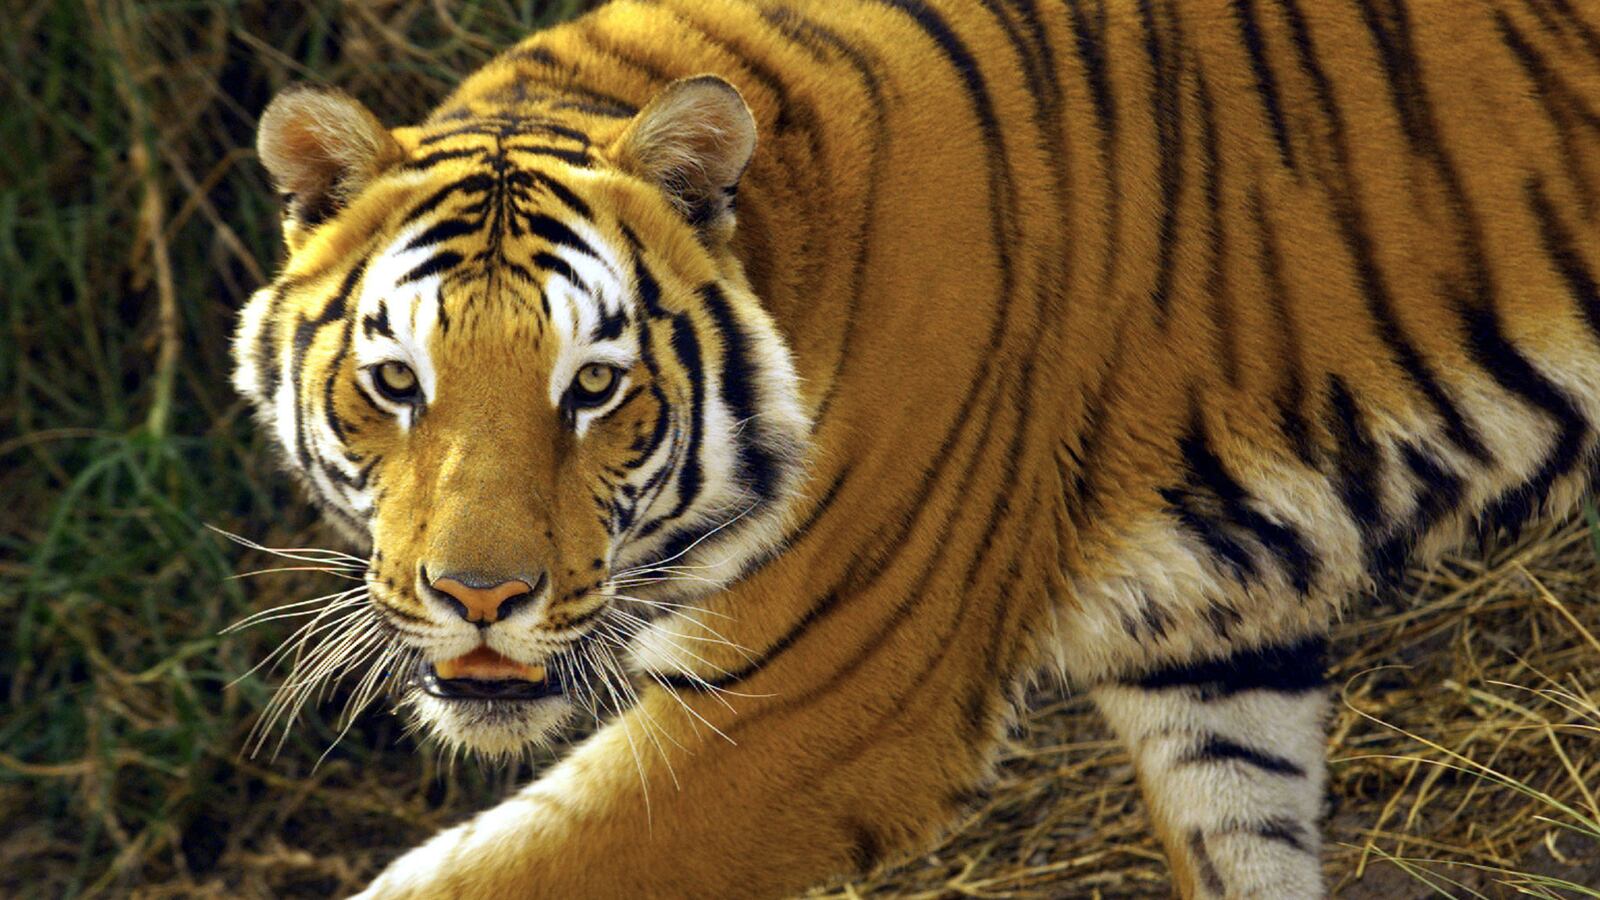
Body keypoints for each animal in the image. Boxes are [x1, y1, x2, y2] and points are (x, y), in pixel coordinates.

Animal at [229, 0, 1600, 896]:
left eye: (595, 387)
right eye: (397, 383)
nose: (480, 598)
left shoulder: (815, 717)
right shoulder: (1211, 644)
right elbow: (1242, 837)